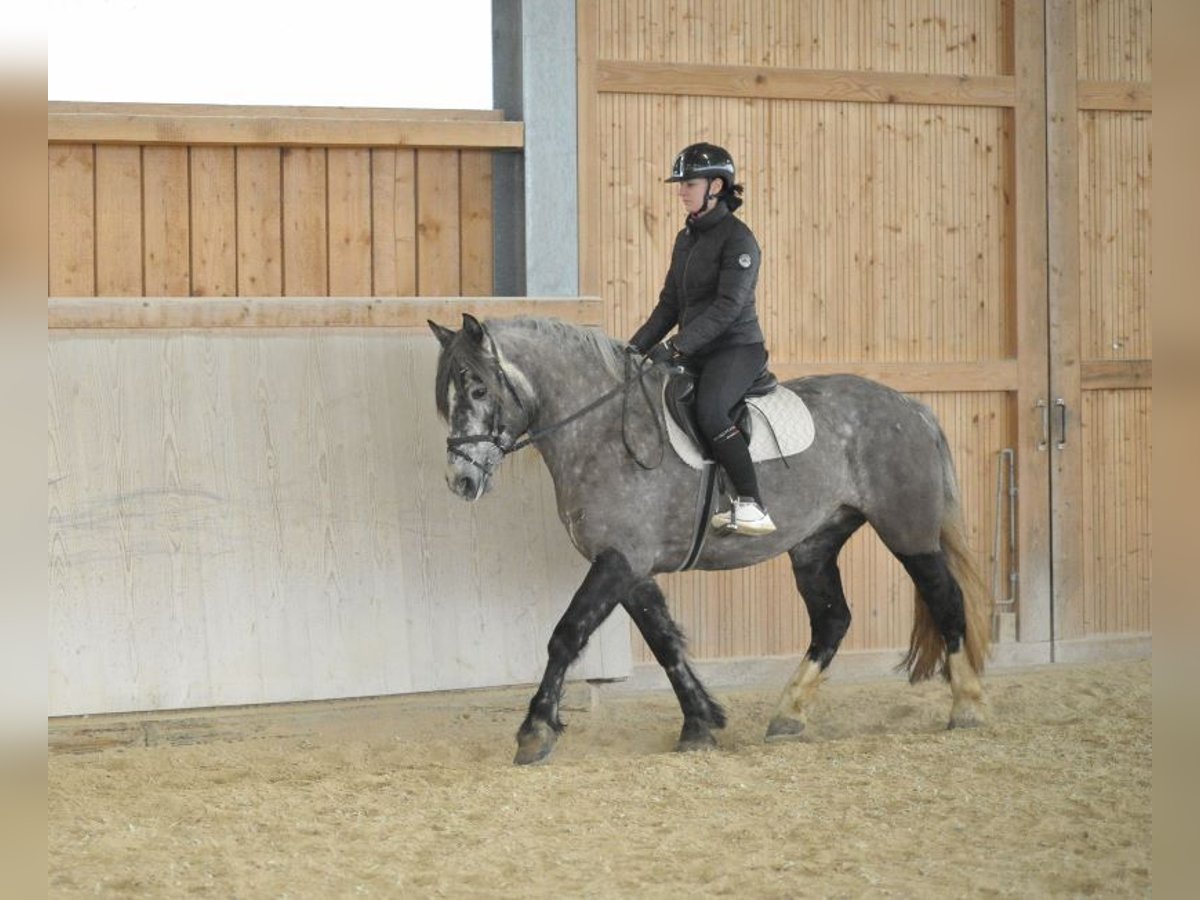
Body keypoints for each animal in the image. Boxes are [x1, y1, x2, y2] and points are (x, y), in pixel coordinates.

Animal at [427, 314, 988, 763]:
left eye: (479, 389)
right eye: (447, 399)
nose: (461, 481)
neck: (603, 432)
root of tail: (911, 408)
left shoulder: (619, 561)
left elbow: (566, 635)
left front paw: (535, 731)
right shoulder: (629, 567)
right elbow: (664, 641)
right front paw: (699, 724)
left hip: (907, 532)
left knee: (945, 599)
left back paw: (968, 706)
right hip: (815, 544)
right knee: (832, 621)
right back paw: (787, 716)